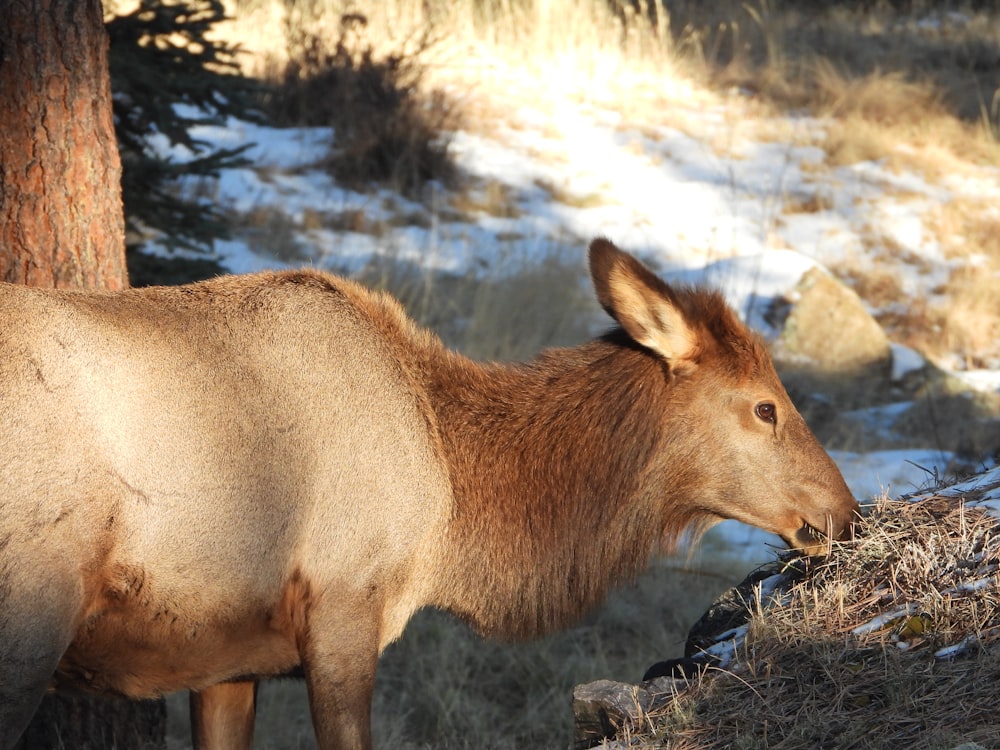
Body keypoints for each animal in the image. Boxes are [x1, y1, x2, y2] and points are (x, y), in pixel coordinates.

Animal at [0, 239, 860, 750]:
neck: (454, 499)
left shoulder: (225, 655)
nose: (844, 515)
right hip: (31, 614)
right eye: (765, 406)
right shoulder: (345, 604)